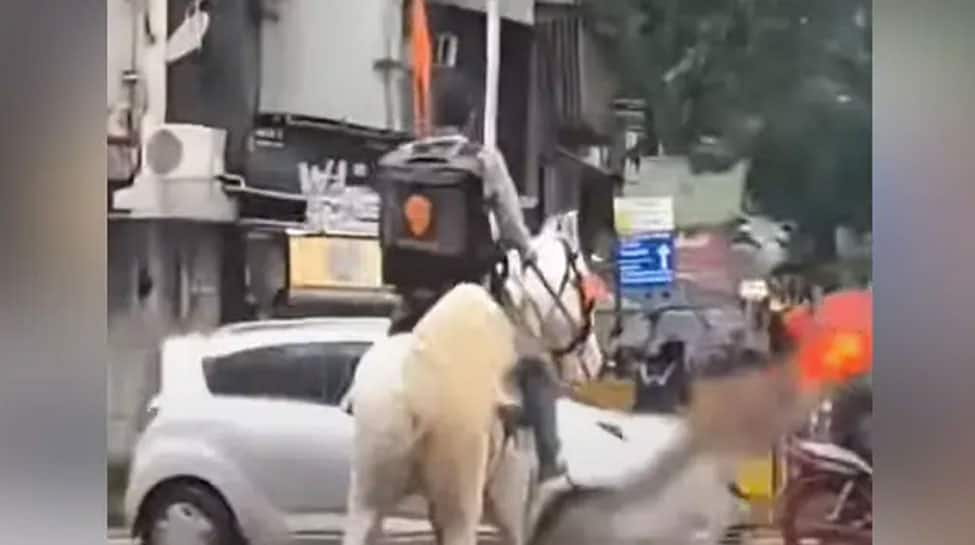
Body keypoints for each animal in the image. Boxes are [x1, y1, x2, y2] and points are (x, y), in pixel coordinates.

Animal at [342, 232, 604, 544]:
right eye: (582, 283)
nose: (597, 361)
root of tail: (412, 401)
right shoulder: (510, 490)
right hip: (460, 486)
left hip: (368, 491)